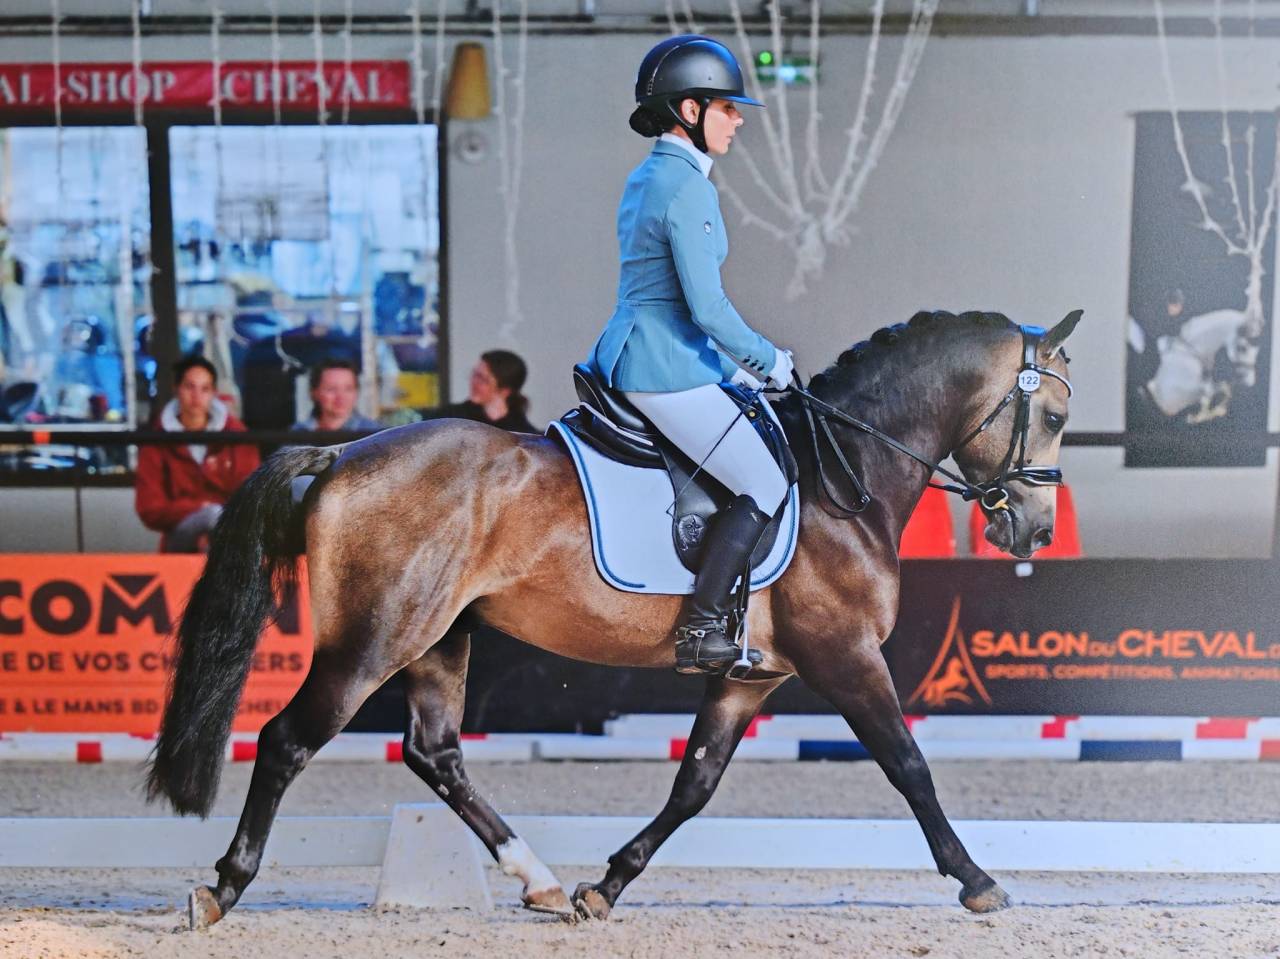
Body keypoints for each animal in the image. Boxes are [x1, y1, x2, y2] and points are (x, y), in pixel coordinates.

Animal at [145, 308, 1081, 929]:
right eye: (1056, 415)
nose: (1035, 531)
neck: (841, 474)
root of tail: (343, 452)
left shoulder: (753, 675)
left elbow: (694, 781)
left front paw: (608, 885)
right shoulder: (846, 656)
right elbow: (910, 765)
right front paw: (978, 879)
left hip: (440, 637)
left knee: (435, 751)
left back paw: (539, 879)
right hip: (374, 638)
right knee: (285, 740)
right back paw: (220, 888)